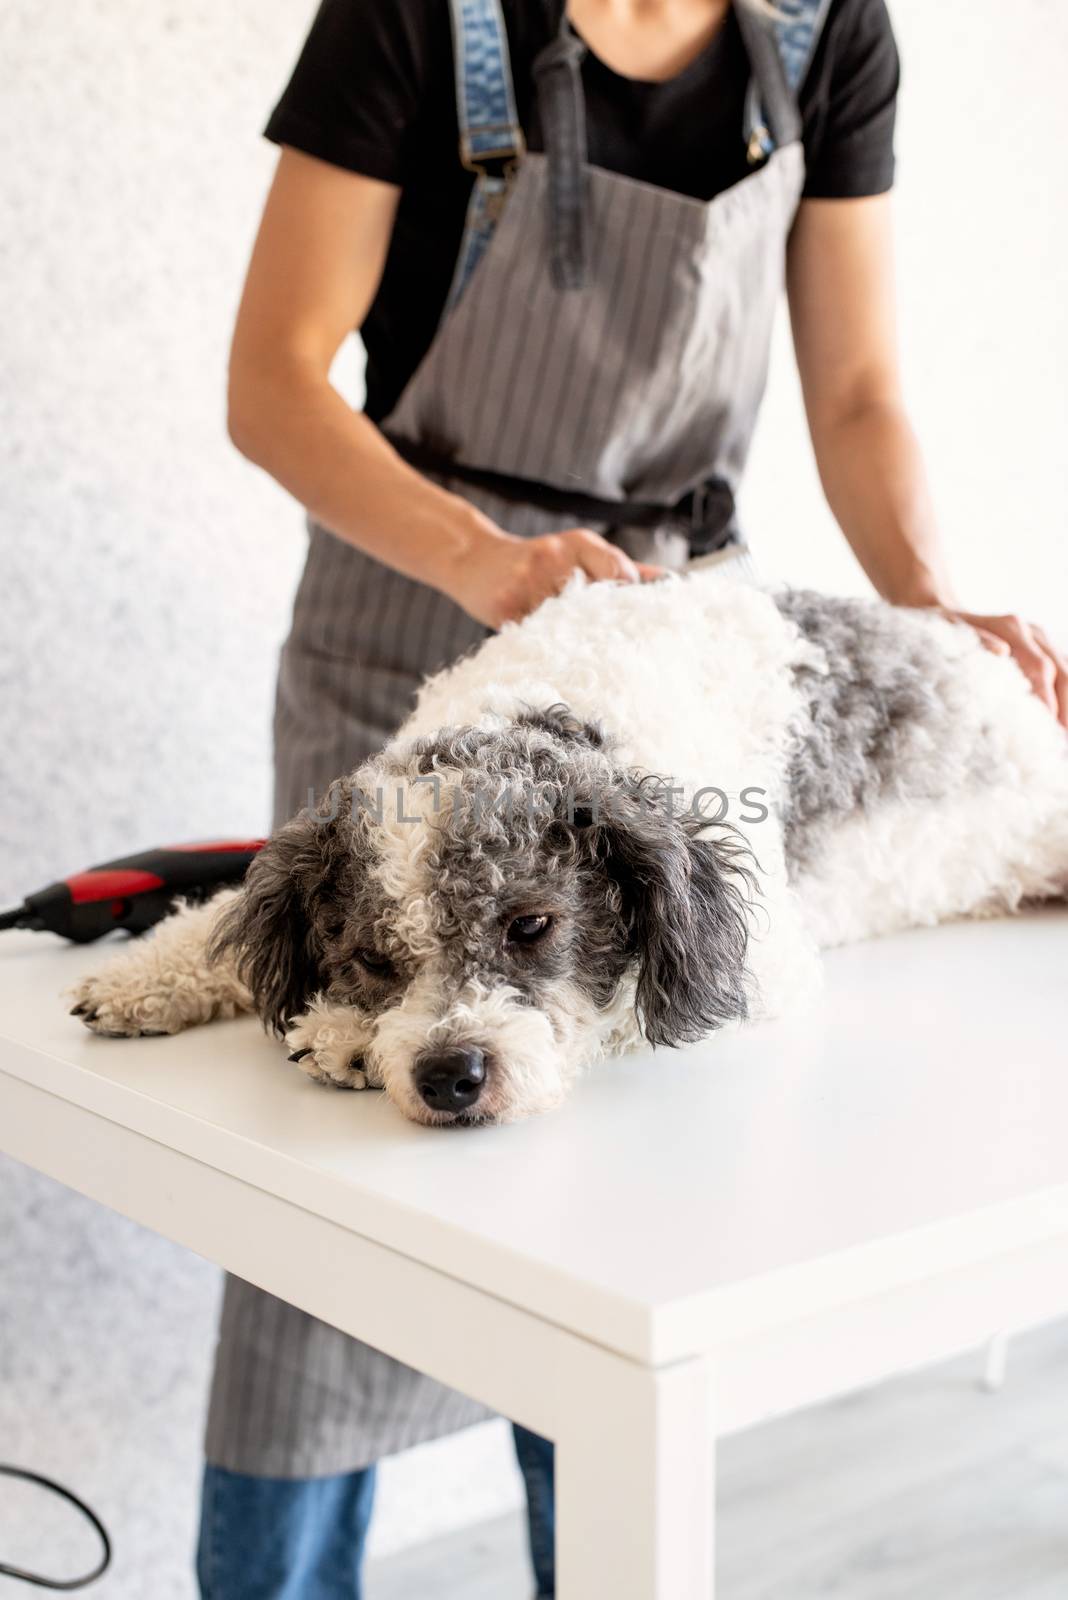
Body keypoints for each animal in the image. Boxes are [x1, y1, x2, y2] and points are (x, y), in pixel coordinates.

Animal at [68, 572, 1068, 1126]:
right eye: (373, 959)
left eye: (531, 926)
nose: (449, 1075)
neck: (552, 702)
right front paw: (143, 977)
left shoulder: (752, 956)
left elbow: (620, 1003)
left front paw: (344, 1039)